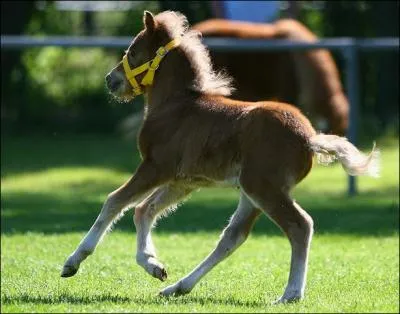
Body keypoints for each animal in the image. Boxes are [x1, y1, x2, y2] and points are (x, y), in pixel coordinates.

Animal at [61, 10, 380, 304]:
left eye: (132, 51)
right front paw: (154, 265)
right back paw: (177, 287)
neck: (175, 105)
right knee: (232, 236)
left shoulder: (155, 166)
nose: (110, 80)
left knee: (299, 226)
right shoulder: (183, 181)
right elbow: (144, 210)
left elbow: (115, 201)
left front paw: (72, 262)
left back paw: (290, 293)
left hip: (262, 187)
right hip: (253, 192)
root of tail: (310, 138)